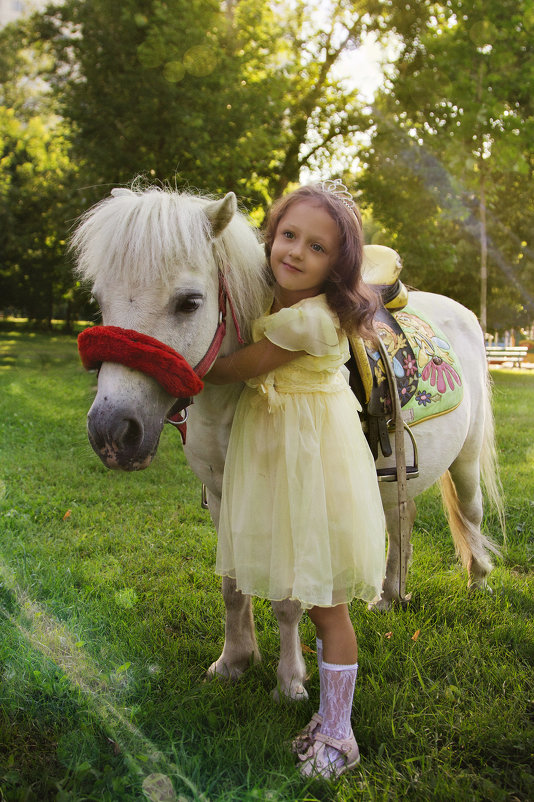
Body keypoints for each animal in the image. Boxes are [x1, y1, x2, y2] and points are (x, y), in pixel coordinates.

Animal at [73, 188, 504, 700]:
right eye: (100, 300)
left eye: (189, 302)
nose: (112, 432)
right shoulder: (223, 496)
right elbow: (233, 585)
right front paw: (234, 661)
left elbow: (289, 598)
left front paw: (290, 681)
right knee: (403, 518)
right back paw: (389, 596)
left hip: (466, 459)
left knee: (471, 515)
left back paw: (478, 584)